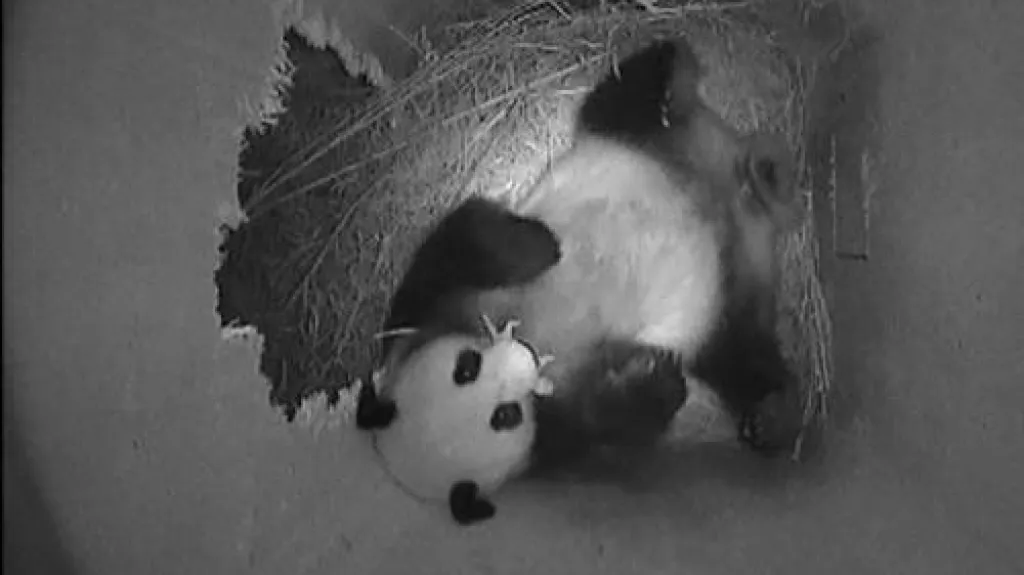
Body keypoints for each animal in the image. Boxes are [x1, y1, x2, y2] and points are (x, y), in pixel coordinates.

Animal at [357, 36, 802, 525]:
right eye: (505, 415)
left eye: (465, 368)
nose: (521, 359)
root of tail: (738, 193)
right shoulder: (556, 438)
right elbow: (610, 423)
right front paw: (656, 375)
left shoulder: (423, 307)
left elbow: (461, 239)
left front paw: (540, 245)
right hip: (726, 309)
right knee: (743, 354)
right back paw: (772, 413)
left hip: (634, 137)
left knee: (628, 91)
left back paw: (673, 86)